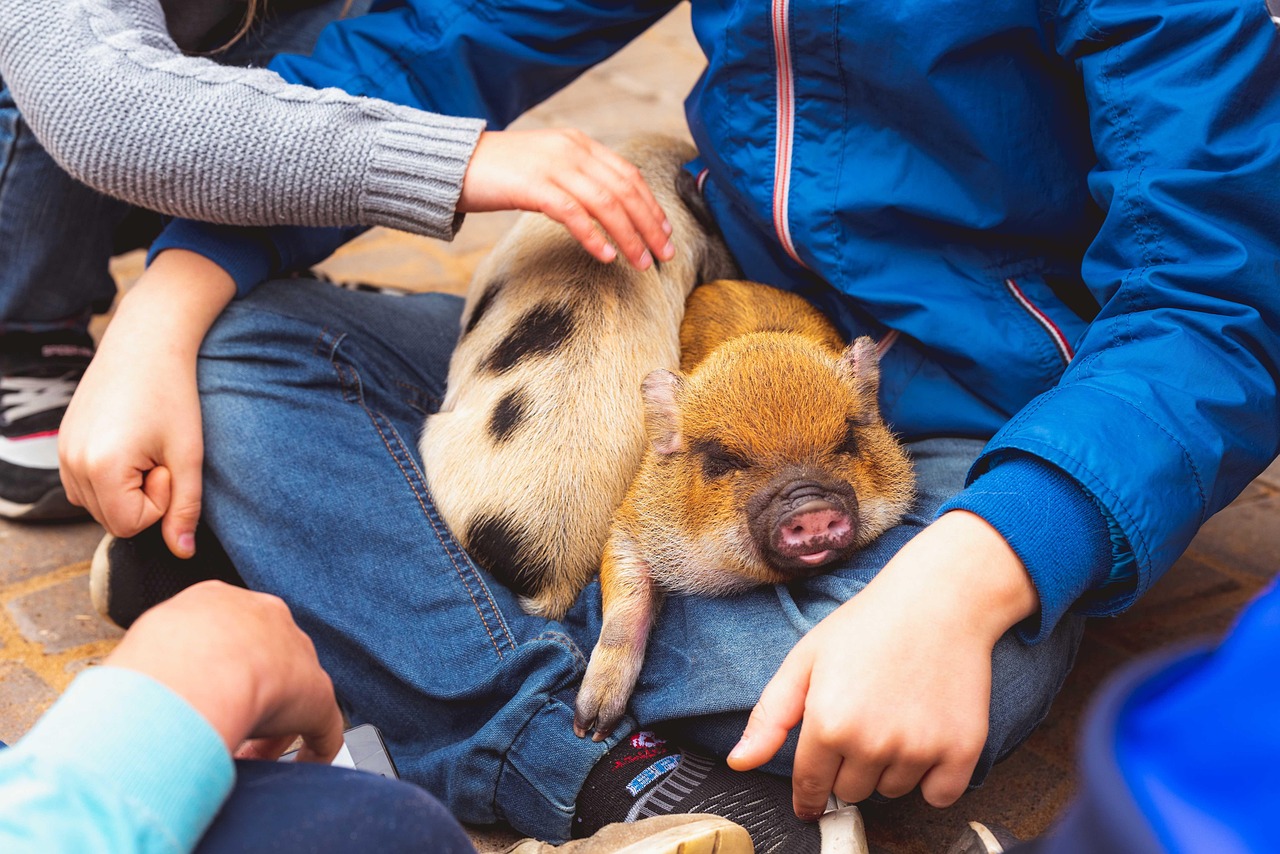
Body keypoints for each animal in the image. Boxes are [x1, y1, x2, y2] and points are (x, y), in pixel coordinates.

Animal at [574, 279, 917, 739]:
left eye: (846, 441)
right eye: (724, 460)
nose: (809, 505)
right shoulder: (632, 522)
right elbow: (626, 600)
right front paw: (590, 727)